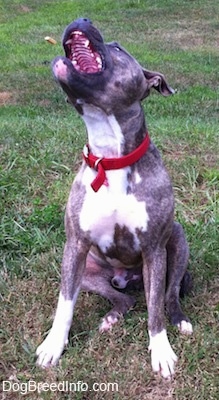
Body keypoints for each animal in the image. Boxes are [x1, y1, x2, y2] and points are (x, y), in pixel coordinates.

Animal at [36, 18, 193, 378]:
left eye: (118, 48)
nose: (82, 18)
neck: (109, 158)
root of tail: (127, 278)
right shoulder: (74, 247)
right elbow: (64, 305)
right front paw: (53, 345)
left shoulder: (154, 249)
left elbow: (155, 309)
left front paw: (161, 350)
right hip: (87, 270)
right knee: (125, 299)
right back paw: (111, 316)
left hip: (176, 244)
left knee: (168, 295)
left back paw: (180, 320)